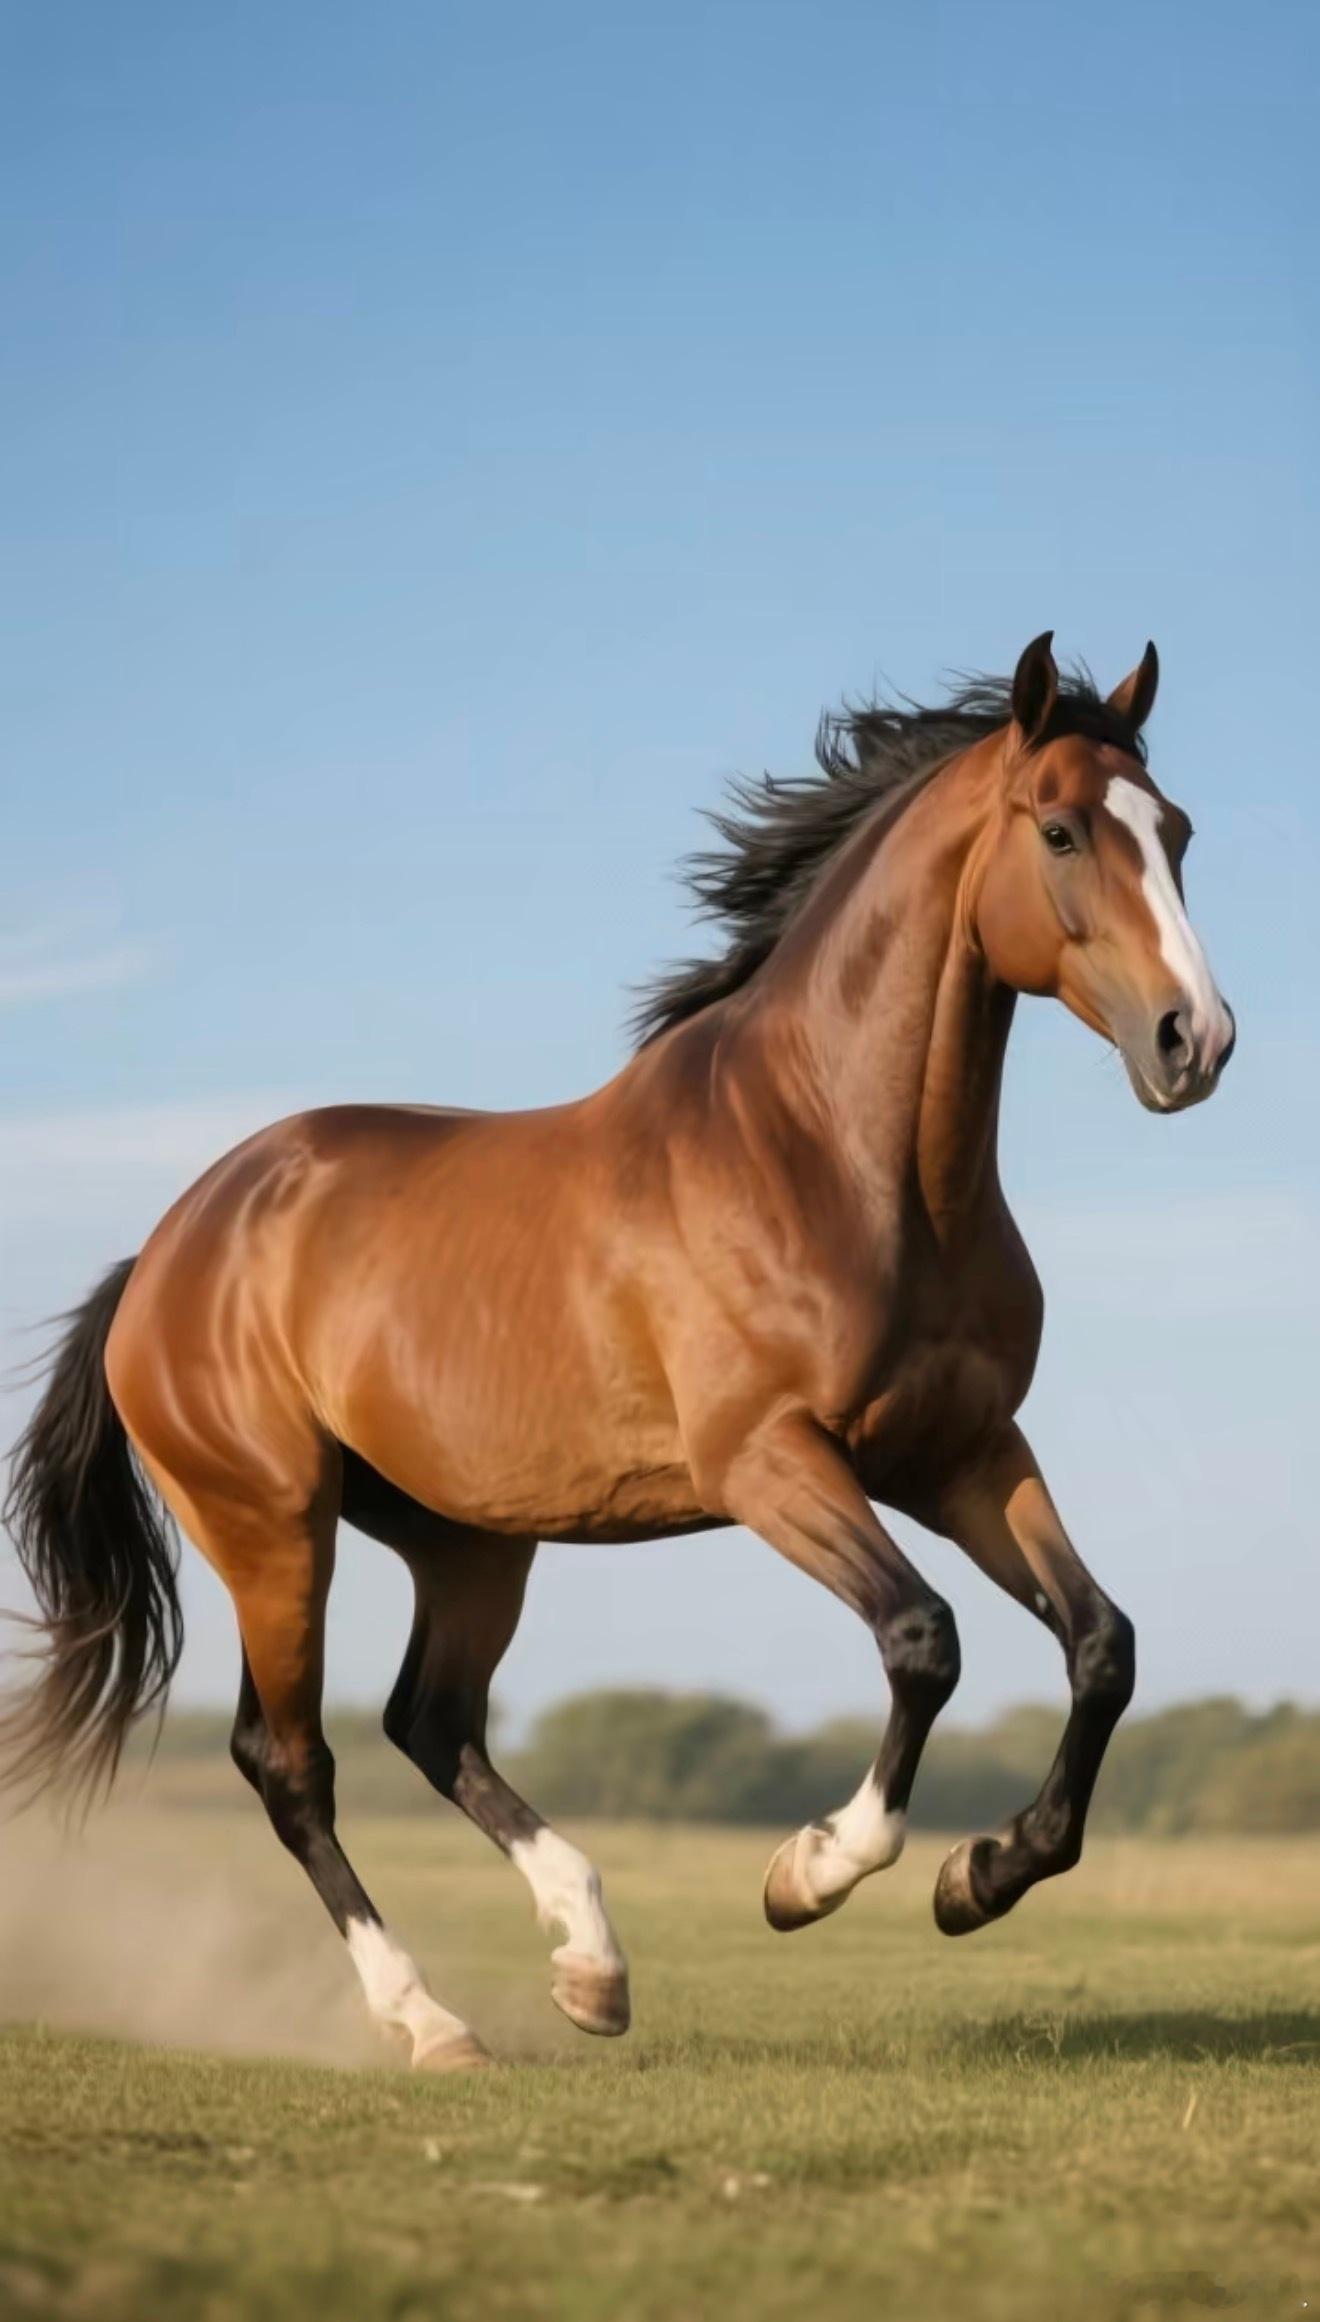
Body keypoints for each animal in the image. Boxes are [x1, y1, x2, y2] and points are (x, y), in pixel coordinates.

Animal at [2, 632, 1234, 2069]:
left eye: (1178, 830)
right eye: (1059, 829)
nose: (1195, 1040)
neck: (831, 1155)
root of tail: (166, 1253)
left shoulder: (964, 1452)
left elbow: (1102, 1643)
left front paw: (977, 1877)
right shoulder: (770, 1462)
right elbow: (923, 1638)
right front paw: (809, 1873)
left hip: (465, 1538)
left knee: (432, 1721)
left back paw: (590, 1964)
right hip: (272, 1525)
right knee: (291, 1760)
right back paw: (430, 2021)